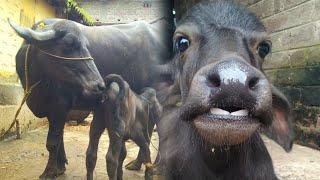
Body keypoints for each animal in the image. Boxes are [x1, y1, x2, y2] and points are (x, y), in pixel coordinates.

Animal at [8, 17, 171, 179]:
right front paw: (60, 166)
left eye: (86, 45)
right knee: (147, 133)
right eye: (69, 43)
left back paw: (157, 167)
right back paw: (137, 164)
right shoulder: (52, 110)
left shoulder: (59, 106)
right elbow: (60, 138)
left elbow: (52, 142)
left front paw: (49, 171)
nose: (99, 84)